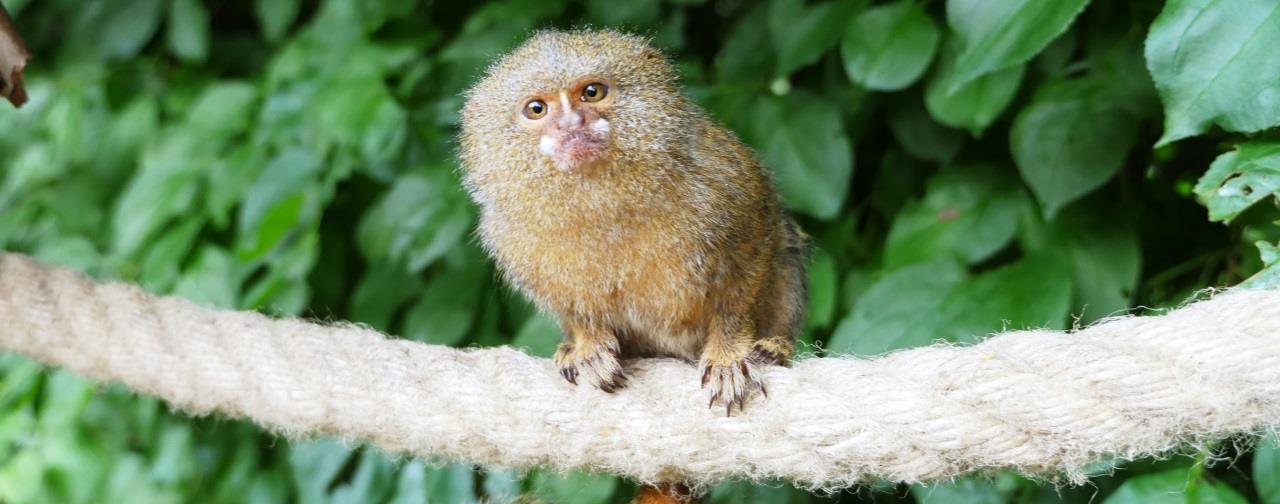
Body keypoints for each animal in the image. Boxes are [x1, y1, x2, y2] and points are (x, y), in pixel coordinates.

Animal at [458, 29, 808, 414]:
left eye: (592, 92)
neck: (602, 200)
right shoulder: (508, 237)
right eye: (537, 109)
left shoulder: (727, 181)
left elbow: (750, 260)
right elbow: (573, 307)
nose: (570, 124)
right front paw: (588, 346)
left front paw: (727, 354)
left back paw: (774, 347)